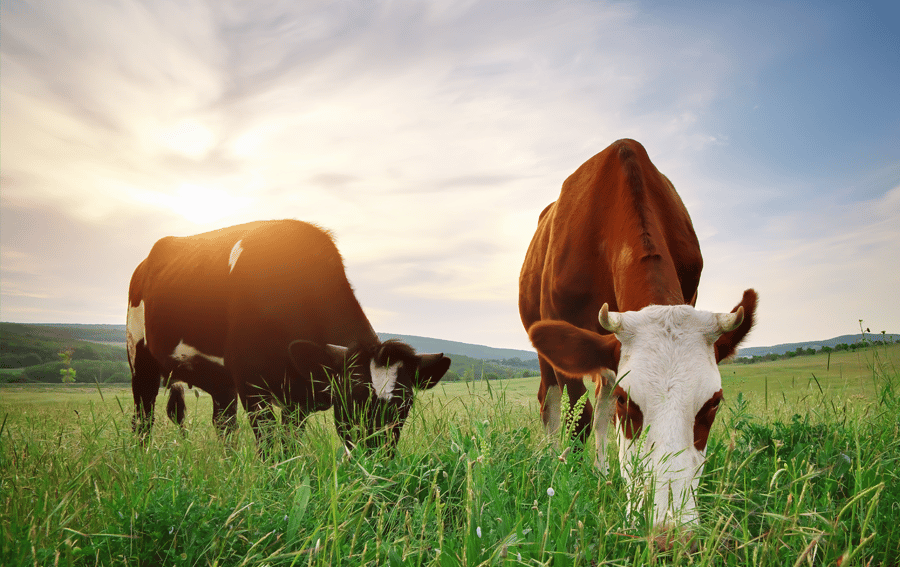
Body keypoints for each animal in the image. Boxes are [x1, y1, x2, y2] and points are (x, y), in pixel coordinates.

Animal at [126, 220, 450, 454]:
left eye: (404, 406)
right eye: (353, 398)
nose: (376, 460)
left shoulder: (298, 398)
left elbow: (289, 445)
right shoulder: (251, 382)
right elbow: (269, 446)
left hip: (220, 381)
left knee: (223, 425)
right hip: (139, 357)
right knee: (143, 417)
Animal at [516, 140, 756, 536]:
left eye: (713, 405)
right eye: (629, 403)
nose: (669, 533)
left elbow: (600, 415)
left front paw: (602, 477)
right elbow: (579, 417)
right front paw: (571, 481)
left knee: (599, 407)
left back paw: (602, 472)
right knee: (551, 402)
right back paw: (553, 460)